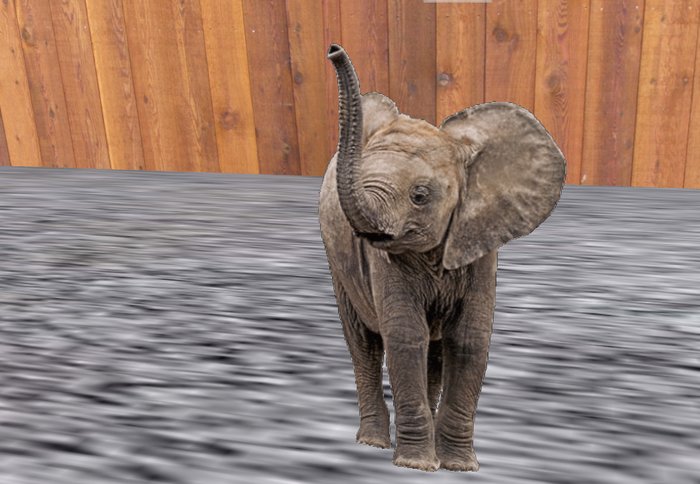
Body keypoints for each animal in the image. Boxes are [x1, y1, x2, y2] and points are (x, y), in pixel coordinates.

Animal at [318, 44, 565, 472]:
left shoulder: (479, 243)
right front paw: (416, 466)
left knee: (433, 350)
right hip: (337, 266)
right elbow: (406, 336)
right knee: (363, 342)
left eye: (420, 195)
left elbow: (470, 339)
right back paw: (372, 444)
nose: (333, 50)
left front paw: (459, 467)